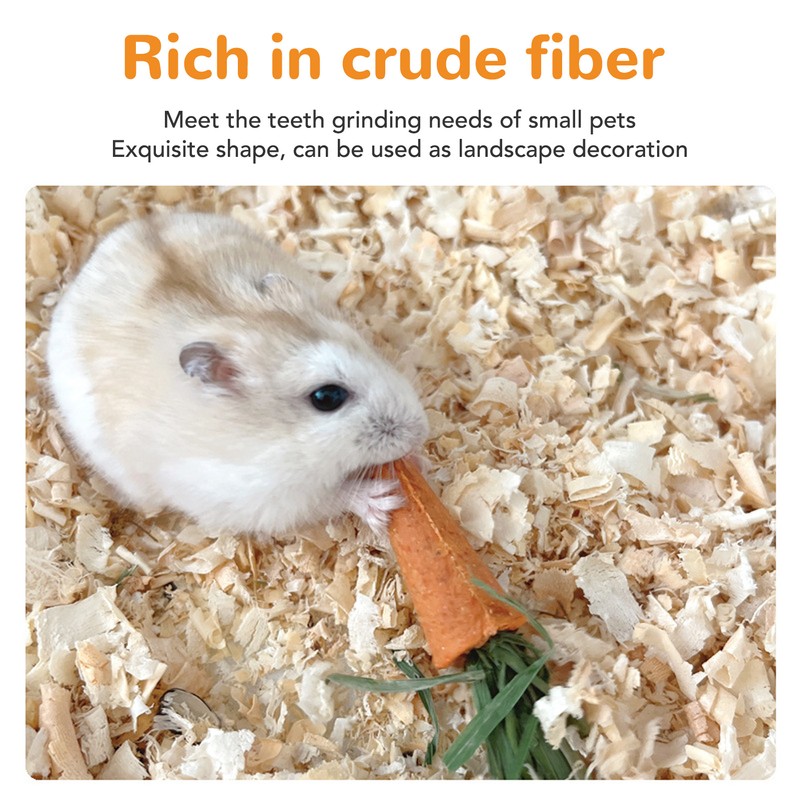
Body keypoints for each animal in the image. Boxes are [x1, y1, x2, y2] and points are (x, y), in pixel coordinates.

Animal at [46, 211, 429, 540]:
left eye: (367, 347)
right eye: (327, 397)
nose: (420, 431)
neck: (273, 439)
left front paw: (418, 460)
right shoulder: (260, 498)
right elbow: (328, 499)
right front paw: (383, 500)